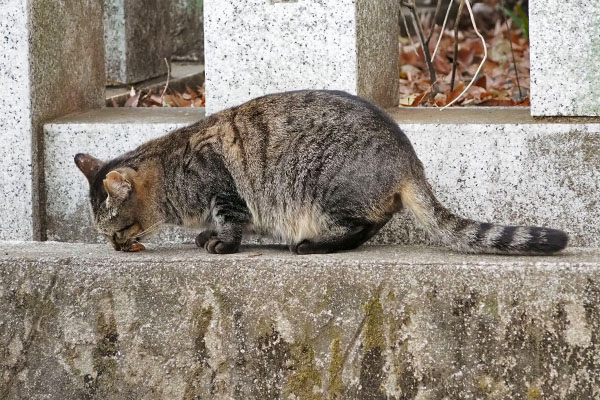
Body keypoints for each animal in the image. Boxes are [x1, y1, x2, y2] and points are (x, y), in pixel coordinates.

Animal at [74, 90, 568, 253]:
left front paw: (219, 242)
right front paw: (204, 235)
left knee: (361, 226)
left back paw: (312, 245)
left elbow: (230, 224)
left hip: (322, 186)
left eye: (117, 230)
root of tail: (408, 157)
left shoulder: (225, 192)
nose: (115, 248)